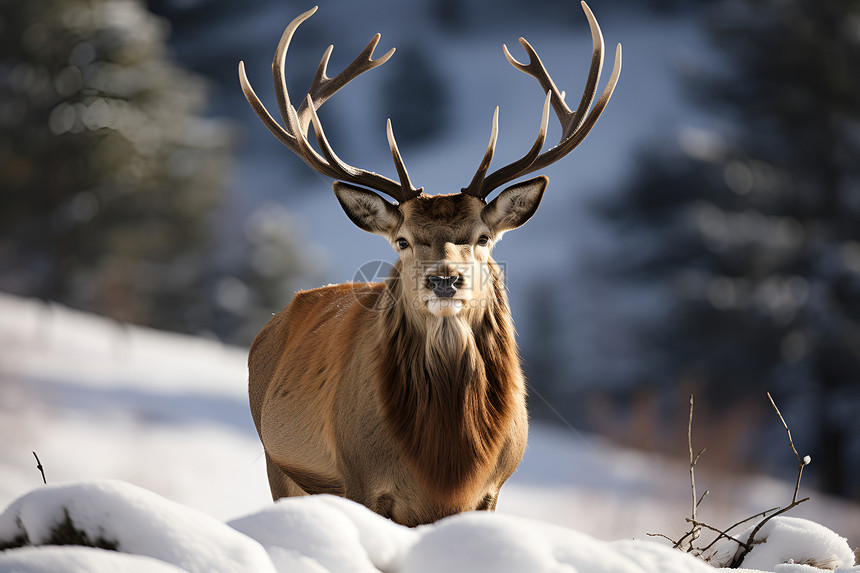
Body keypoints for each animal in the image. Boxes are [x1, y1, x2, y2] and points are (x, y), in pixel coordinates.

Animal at [239, 2, 620, 524]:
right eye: (402, 240)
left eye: (483, 238)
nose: (445, 279)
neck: (447, 461)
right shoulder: (361, 478)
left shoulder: (491, 489)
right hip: (277, 463)